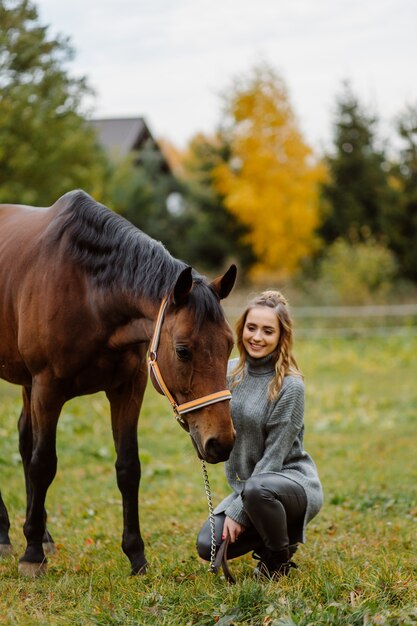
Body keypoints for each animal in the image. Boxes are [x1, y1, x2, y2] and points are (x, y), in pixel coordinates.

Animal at [0, 190, 236, 576]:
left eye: (230, 345)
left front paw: (136, 555)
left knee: (23, 439)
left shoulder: (127, 389)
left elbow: (128, 468)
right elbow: (43, 463)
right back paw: (9, 536)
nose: (222, 442)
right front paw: (31, 554)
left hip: (26, 384)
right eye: (183, 350)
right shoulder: (48, 389)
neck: (89, 293)